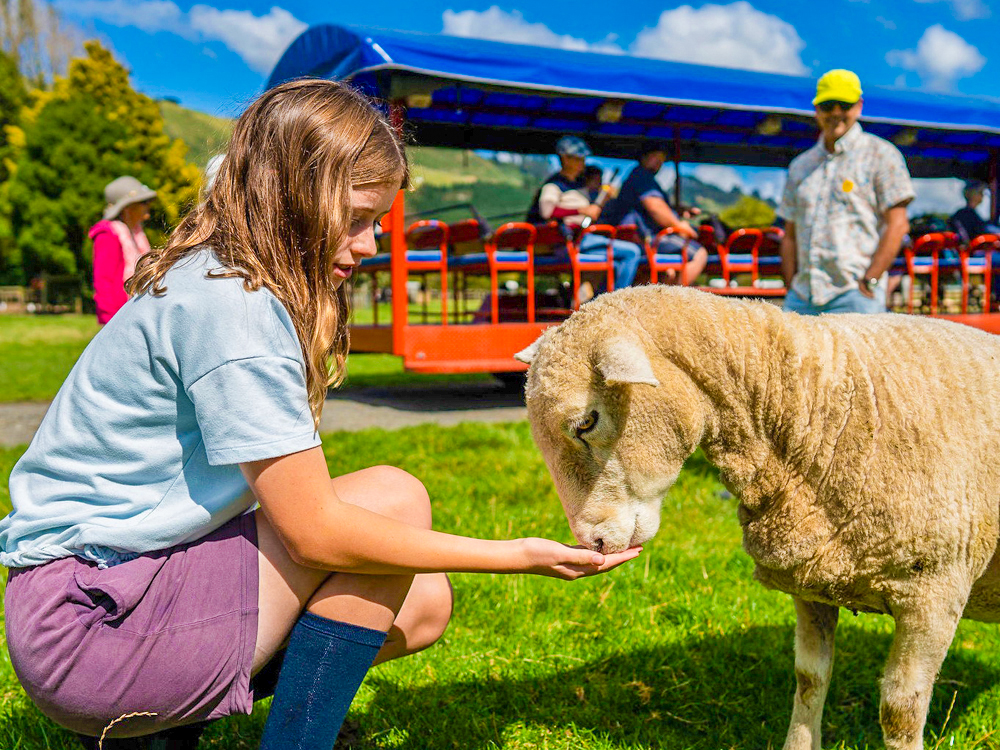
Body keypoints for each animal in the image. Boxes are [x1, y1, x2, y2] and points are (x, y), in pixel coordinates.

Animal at [516, 288, 1000, 750]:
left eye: (586, 422)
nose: (592, 542)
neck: (815, 407)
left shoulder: (934, 594)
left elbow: (900, 712)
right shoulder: (814, 580)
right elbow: (810, 680)